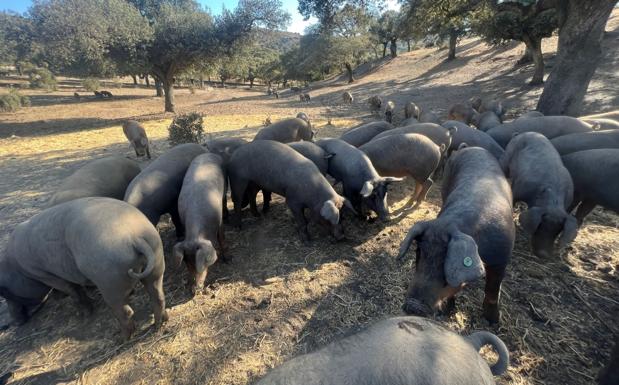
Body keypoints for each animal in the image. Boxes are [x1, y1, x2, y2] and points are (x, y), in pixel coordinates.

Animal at [0, 198, 167, 340]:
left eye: (6, 293)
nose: (14, 323)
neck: (16, 267)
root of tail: (134, 238)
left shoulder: (43, 273)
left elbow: (73, 290)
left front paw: (85, 314)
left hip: (108, 281)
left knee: (125, 311)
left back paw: (122, 339)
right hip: (156, 258)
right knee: (157, 295)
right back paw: (160, 324)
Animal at [176, 152, 226, 292]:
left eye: (202, 265)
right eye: (187, 265)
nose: (196, 289)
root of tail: (208, 153)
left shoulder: (219, 221)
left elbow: (221, 238)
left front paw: (228, 259)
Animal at [400, 146, 516, 320]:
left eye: (444, 261)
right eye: (418, 252)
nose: (413, 305)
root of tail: (468, 147)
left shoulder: (501, 258)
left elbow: (492, 290)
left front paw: (494, 320)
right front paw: (447, 311)